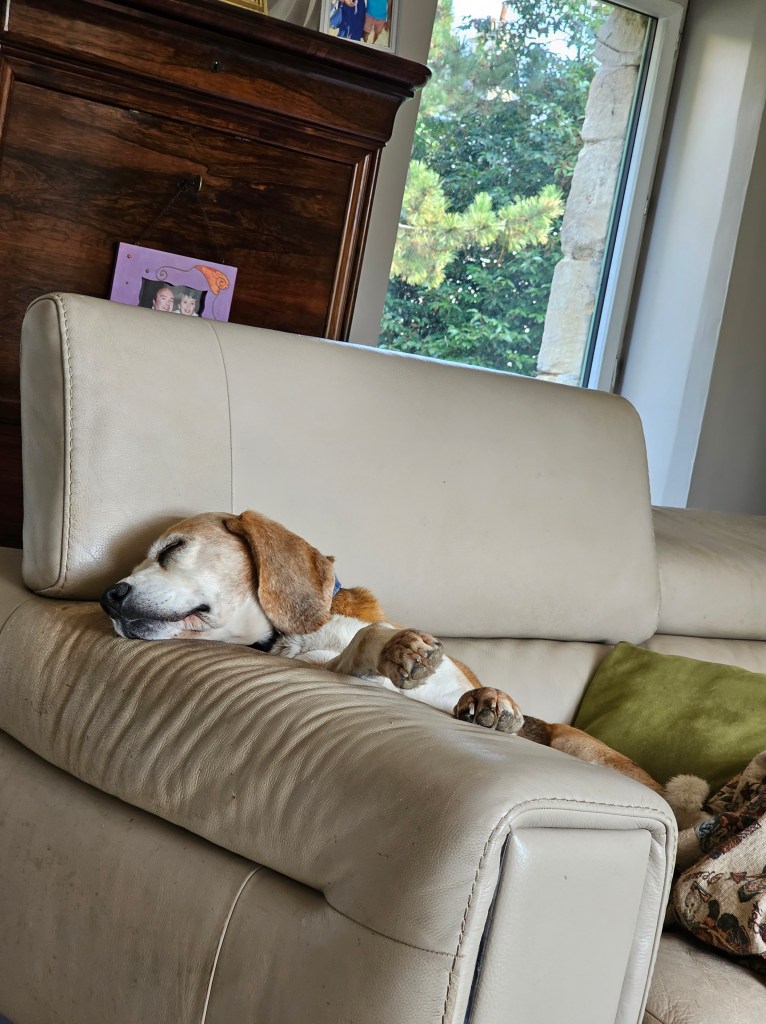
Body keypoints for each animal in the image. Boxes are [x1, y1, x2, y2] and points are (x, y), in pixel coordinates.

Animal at [100, 509, 670, 796]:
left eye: (172, 549)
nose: (108, 596)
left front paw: (488, 702)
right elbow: (361, 648)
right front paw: (395, 651)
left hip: (576, 741)